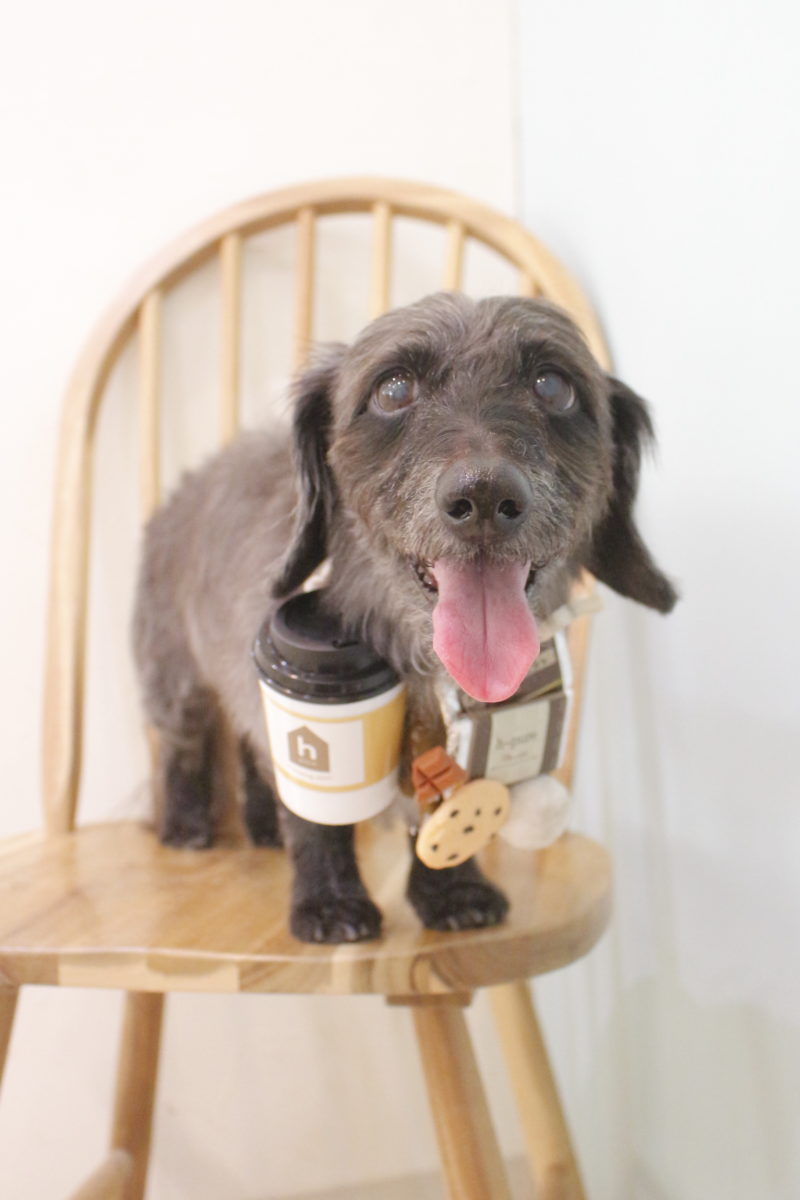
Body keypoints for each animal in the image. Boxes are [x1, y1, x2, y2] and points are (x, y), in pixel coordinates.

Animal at [133, 292, 677, 943]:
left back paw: (261, 825)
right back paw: (186, 825)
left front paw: (454, 891)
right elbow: (316, 819)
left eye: (554, 386)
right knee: (186, 747)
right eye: (393, 389)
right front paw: (330, 902)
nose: (485, 497)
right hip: (174, 678)